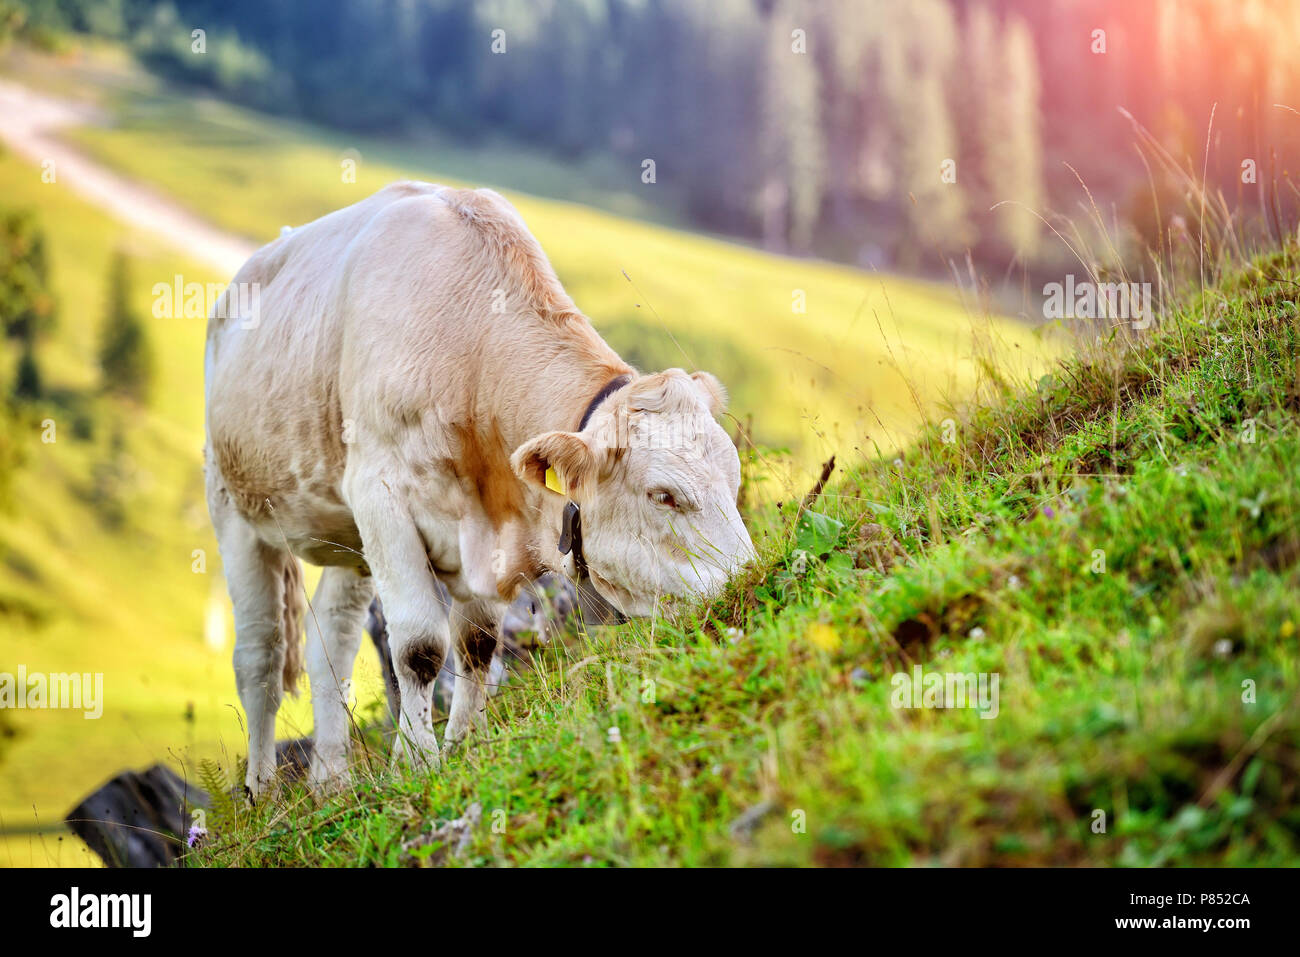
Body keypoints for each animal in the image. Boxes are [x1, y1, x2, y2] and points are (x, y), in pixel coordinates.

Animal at [201, 183, 754, 795]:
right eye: (663, 495)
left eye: (734, 478)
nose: (750, 580)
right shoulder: (380, 494)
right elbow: (419, 647)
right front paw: (417, 765)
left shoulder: (481, 537)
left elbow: (476, 644)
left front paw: (464, 746)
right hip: (234, 509)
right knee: (260, 659)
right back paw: (262, 792)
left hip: (349, 540)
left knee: (333, 645)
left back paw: (331, 781)